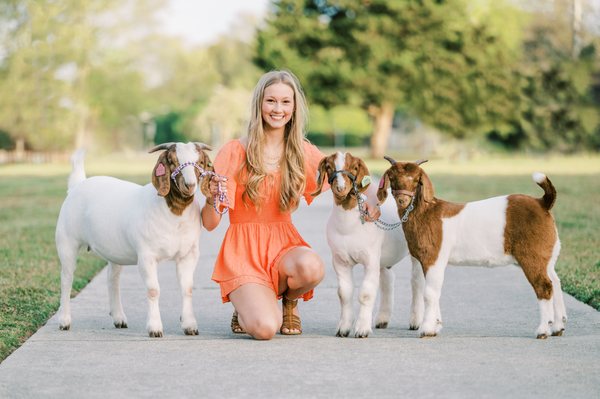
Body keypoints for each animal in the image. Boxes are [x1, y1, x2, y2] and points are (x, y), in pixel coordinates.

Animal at [54, 142, 213, 340]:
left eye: (200, 162)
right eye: (171, 161)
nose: (189, 185)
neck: (174, 213)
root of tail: (78, 185)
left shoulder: (188, 254)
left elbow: (187, 288)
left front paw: (190, 325)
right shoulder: (146, 256)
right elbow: (153, 290)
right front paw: (155, 328)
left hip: (114, 251)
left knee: (112, 279)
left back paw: (119, 318)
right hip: (67, 242)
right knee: (66, 279)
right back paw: (64, 321)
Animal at [312, 152, 410, 340]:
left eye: (354, 167)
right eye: (329, 167)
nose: (340, 188)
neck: (349, 228)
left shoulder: (370, 260)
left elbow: (366, 293)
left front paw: (362, 329)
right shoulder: (340, 261)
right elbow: (344, 293)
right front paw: (343, 328)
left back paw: (416, 322)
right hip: (383, 260)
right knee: (388, 278)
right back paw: (382, 319)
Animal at [380, 158, 568, 340]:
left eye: (415, 179)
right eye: (392, 178)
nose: (402, 200)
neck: (426, 212)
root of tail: (543, 203)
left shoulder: (433, 257)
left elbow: (430, 293)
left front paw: (427, 330)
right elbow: (435, 290)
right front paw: (436, 326)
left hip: (532, 255)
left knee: (544, 286)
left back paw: (543, 330)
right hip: (548, 255)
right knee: (556, 282)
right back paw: (558, 327)